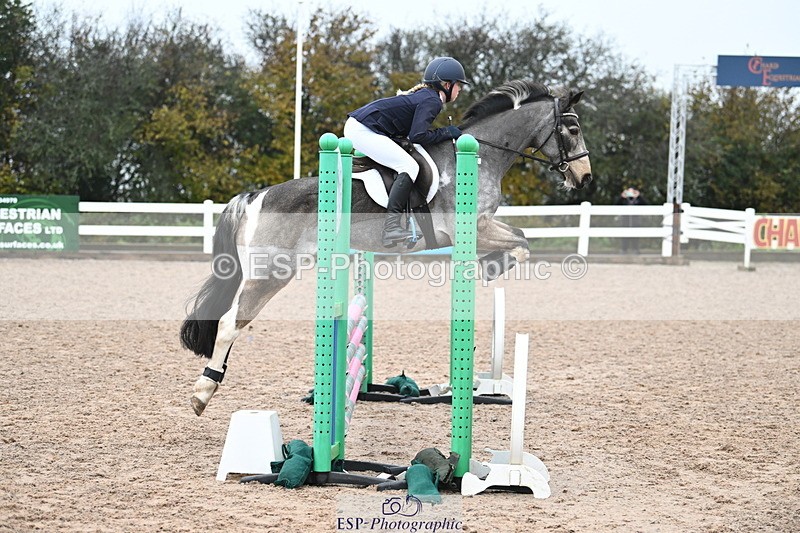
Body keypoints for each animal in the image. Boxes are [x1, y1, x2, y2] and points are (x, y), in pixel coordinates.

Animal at [180, 80, 592, 416]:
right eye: (572, 129)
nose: (584, 177)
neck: (482, 154)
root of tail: (255, 196)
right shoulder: (472, 227)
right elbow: (522, 241)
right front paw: (494, 264)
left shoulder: (480, 227)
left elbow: (520, 238)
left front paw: (492, 264)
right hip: (271, 272)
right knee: (230, 323)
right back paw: (203, 392)